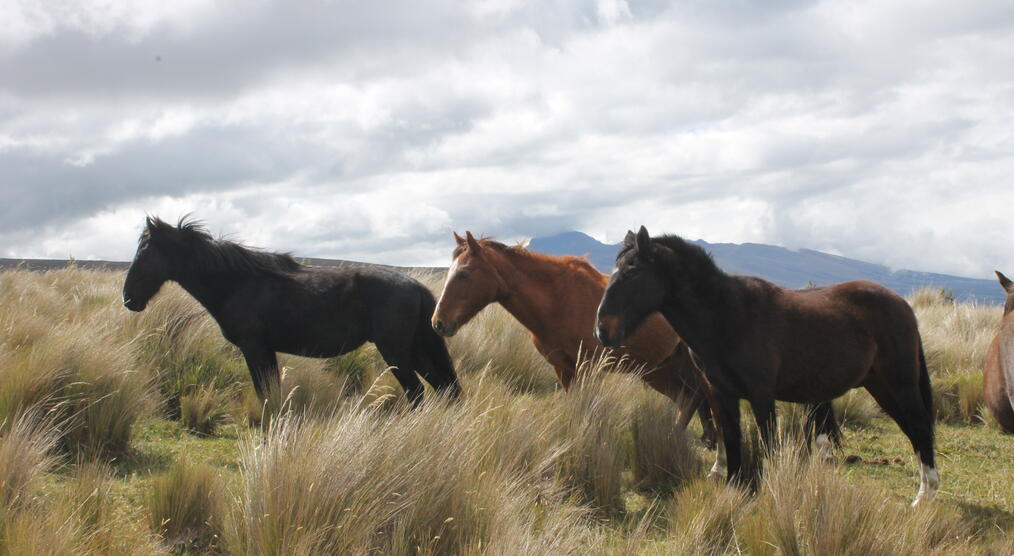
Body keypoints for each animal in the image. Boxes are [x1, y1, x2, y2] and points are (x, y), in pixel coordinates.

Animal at [122, 216, 464, 403]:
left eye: (145, 251)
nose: (128, 298)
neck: (238, 282)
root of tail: (415, 287)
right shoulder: (265, 351)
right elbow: (270, 391)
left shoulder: (254, 348)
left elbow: (264, 393)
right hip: (415, 350)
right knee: (444, 388)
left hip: (396, 352)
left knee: (418, 393)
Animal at [431, 230, 717, 442]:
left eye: (465, 273)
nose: (438, 323)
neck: (556, 301)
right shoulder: (563, 369)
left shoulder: (588, 368)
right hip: (659, 368)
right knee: (689, 398)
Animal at [596, 227, 936, 507]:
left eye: (632, 273)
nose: (602, 330)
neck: (727, 316)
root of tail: (902, 305)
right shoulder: (722, 394)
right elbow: (732, 441)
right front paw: (732, 492)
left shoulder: (761, 395)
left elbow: (768, 446)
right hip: (879, 385)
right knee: (914, 431)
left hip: (900, 384)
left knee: (920, 427)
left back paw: (925, 495)